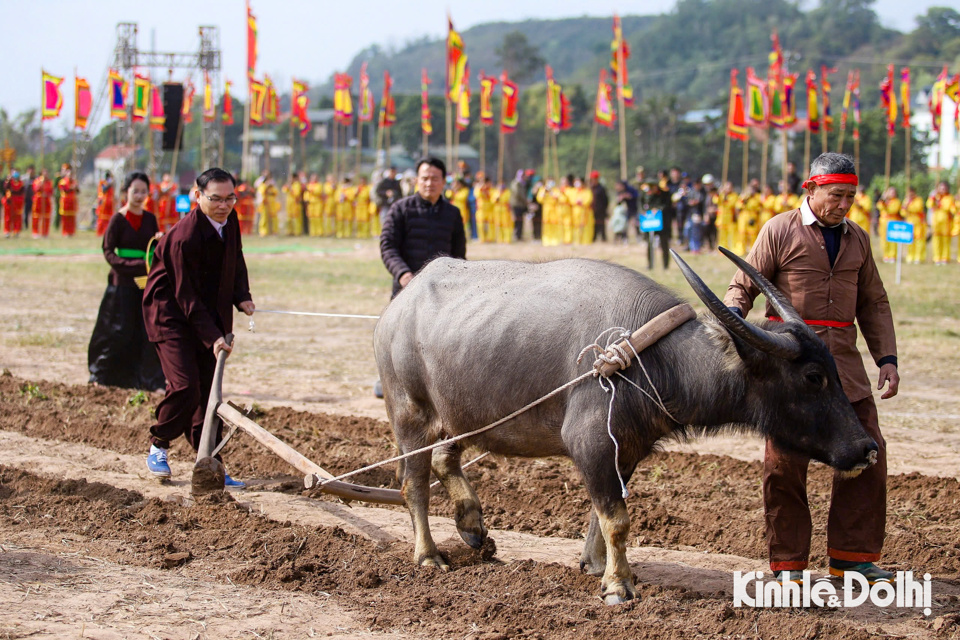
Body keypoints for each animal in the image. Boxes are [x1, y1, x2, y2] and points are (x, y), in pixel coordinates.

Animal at [374, 250, 876, 604]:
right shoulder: (592, 443)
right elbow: (616, 517)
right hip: (410, 416)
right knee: (412, 484)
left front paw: (598, 567)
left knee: (445, 459)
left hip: (460, 418)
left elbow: (602, 515)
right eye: (813, 376)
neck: (648, 357)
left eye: (835, 368)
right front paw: (619, 586)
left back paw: (473, 526)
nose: (867, 448)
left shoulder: (625, 450)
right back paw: (429, 555)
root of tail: (398, 307)